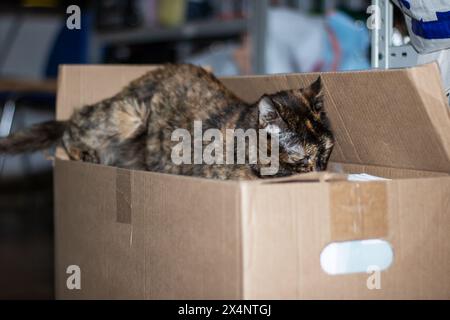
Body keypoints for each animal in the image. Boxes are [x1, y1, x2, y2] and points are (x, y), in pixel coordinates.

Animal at [0, 64, 334, 180]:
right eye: (301, 158)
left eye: (325, 153)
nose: (320, 172)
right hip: (129, 113)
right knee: (71, 129)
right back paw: (87, 155)